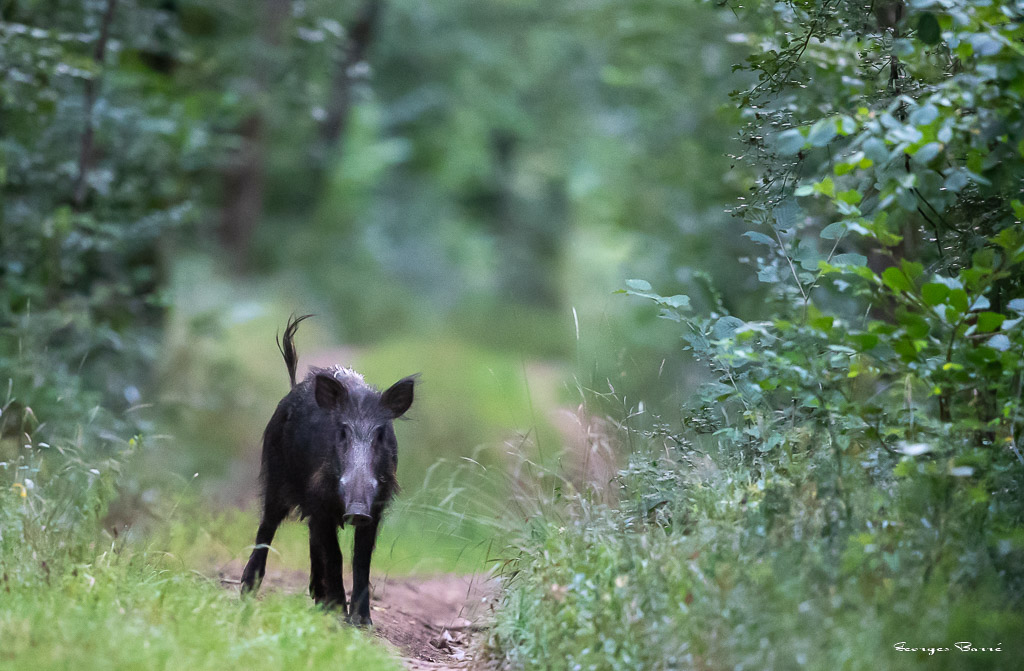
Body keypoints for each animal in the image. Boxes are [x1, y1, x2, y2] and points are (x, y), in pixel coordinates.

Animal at [240, 314, 416, 625]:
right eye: (342, 431)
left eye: (380, 434)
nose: (356, 511)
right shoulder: (319, 498)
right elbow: (335, 556)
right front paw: (340, 615)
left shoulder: (376, 506)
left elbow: (361, 559)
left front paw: (362, 621)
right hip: (276, 477)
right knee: (267, 526)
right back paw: (247, 590)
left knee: (312, 539)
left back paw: (318, 599)